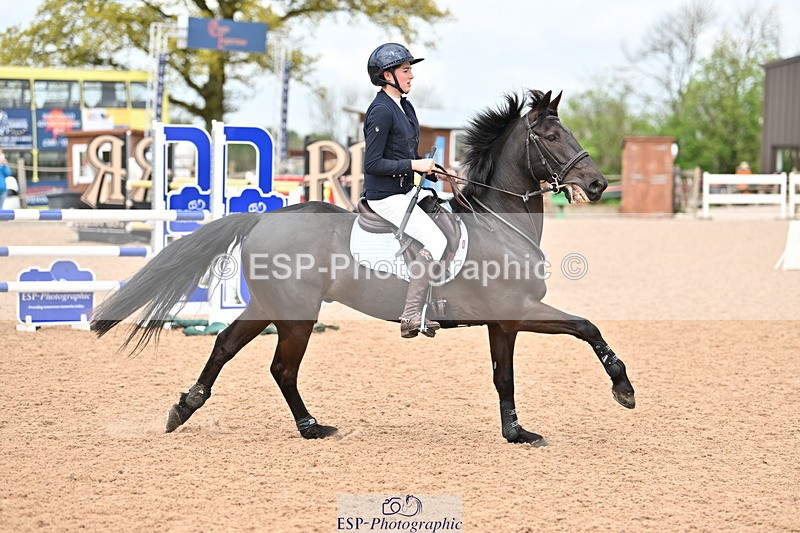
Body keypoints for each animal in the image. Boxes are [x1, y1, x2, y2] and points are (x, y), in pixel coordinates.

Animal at [92, 89, 635, 447]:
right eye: (551, 136)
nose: (598, 184)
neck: (499, 225)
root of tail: (262, 217)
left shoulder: (503, 321)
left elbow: (505, 377)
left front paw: (515, 431)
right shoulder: (519, 309)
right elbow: (587, 328)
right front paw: (624, 390)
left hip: (268, 304)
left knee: (226, 345)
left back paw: (184, 409)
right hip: (296, 313)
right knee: (282, 367)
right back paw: (311, 428)